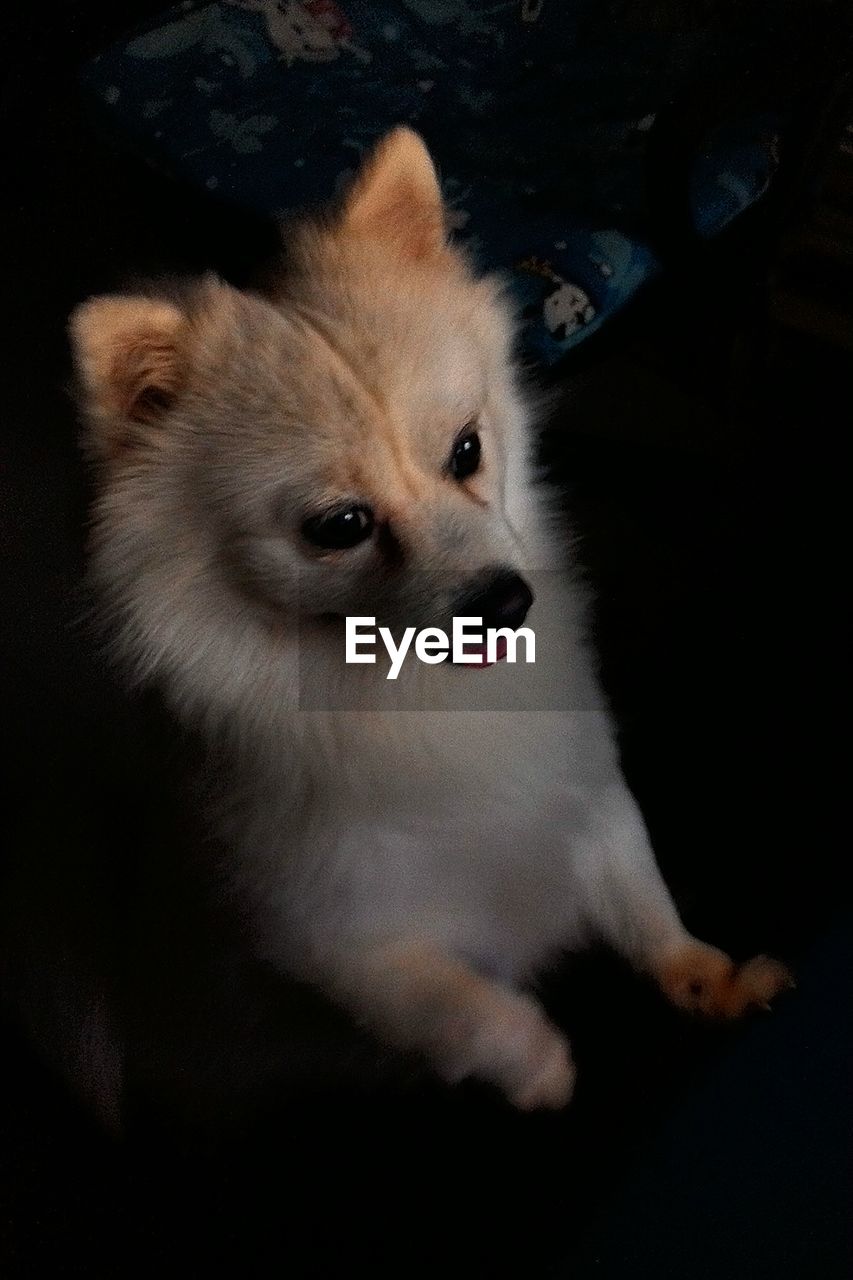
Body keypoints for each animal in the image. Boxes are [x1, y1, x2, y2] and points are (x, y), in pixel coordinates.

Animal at [68, 124, 788, 1116]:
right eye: (340, 527)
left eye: (466, 451)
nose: (505, 602)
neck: (421, 700)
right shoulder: (345, 944)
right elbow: (461, 1009)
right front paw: (540, 1068)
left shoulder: (586, 791)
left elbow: (639, 891)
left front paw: (703, 978)